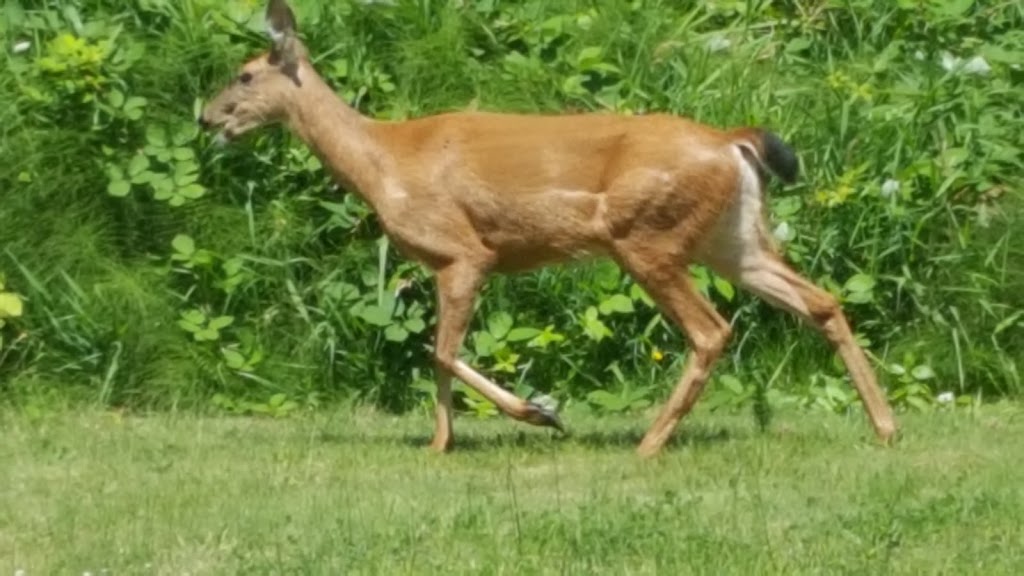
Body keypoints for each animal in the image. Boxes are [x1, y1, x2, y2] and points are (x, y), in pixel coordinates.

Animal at [197, 1, 897, 457]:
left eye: (246, 74)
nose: (207, 118)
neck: (383, 161)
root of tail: (733, 141)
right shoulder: (449, 263)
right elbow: (438, 354)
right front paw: (441, 444)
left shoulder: (463, 251)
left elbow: (440, 351)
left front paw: (540, 413)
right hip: (732, 238)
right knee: (821, 301)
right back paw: (886, 427)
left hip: (647, 235)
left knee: (711, 330)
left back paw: (649, 443)